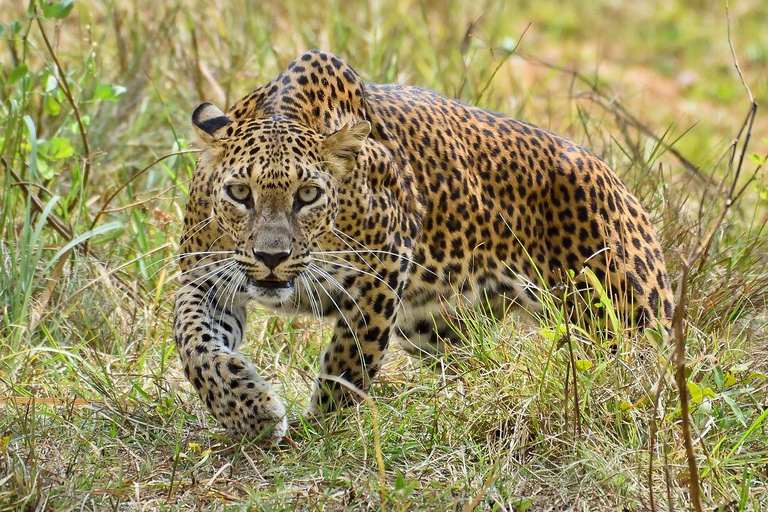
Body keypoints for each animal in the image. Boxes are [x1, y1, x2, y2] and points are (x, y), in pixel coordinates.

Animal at [176, 51, 672, 444]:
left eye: (308, 195)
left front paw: (319, 430)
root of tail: (617, 181)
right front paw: (249, 412)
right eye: (240, 193)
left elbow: (348, 362)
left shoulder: (380, 276)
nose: (272, 258)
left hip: (624, 316)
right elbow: (195, 344)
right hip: (436, 326)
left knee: (650, 372)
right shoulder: (204, 278)